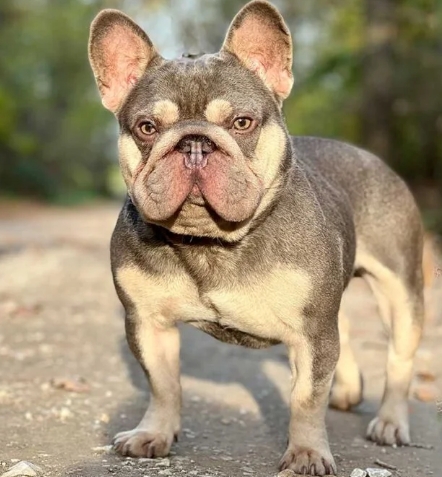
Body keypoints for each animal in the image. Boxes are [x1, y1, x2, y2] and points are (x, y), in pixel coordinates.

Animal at [87, 2, 424, 472]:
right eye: (147, 128)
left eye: (241, 123)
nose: (194, 144)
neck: (212, 243)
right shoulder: (147, 323)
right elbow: (163, 384)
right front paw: (154, 432)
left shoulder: (311, 333)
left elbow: (306, 398)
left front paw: (306, 453)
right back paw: (349, 389)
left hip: (401, 291)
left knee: (399, 359)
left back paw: (391, 422)